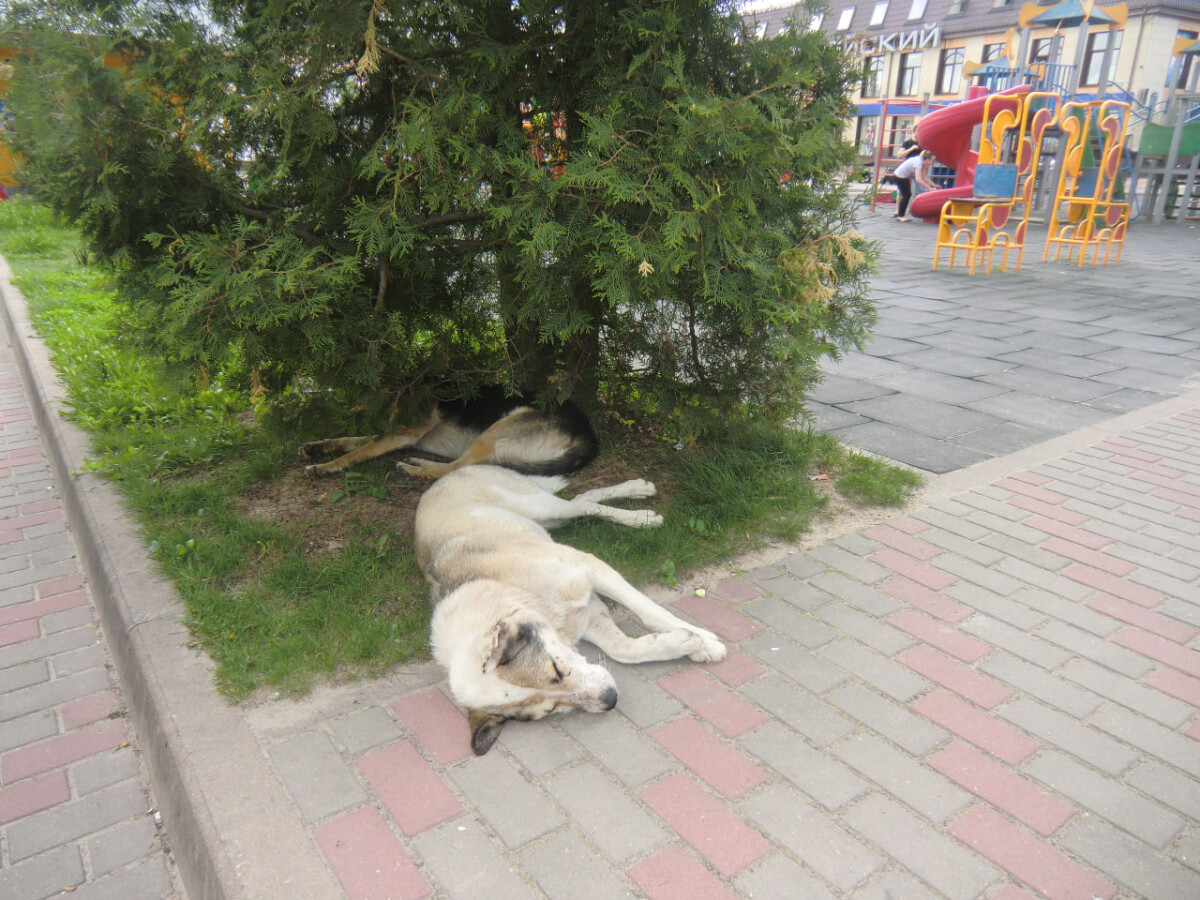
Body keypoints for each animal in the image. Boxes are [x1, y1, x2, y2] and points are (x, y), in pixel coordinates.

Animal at [417, 465, 724, 753]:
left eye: (557, 670)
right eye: (550, 709)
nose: (610, 700)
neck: (517, 592)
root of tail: (442, 479)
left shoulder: (591, 568)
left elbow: (649, 611)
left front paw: (706, 641)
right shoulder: (589, 616)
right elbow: (624, 650)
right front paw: (688, 644)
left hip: (539, 506)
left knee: (577, 502)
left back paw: (640, 508)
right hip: (547, 519)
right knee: (582, 500)